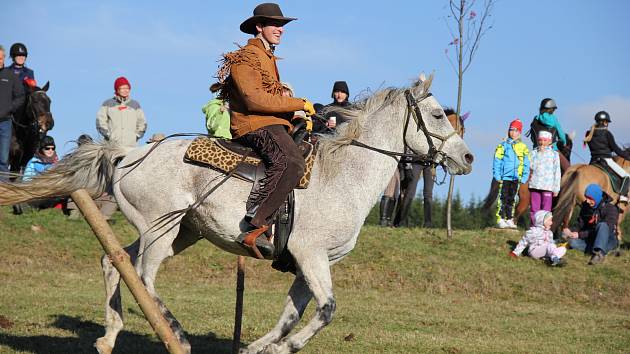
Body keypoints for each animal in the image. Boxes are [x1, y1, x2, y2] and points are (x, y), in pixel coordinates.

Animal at [0, 75, 474, 354]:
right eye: (437, 115)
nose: (467, 158)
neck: (343, 175)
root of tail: (129, 153)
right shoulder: (312, 256)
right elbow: (326, 310)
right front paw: (283, 348)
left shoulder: (307, 263)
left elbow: (290, 316)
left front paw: (258, 347)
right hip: (161, 228)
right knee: (144, 276)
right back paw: (177, 336)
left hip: (180, 231)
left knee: (114, 261)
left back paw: (109, 335)